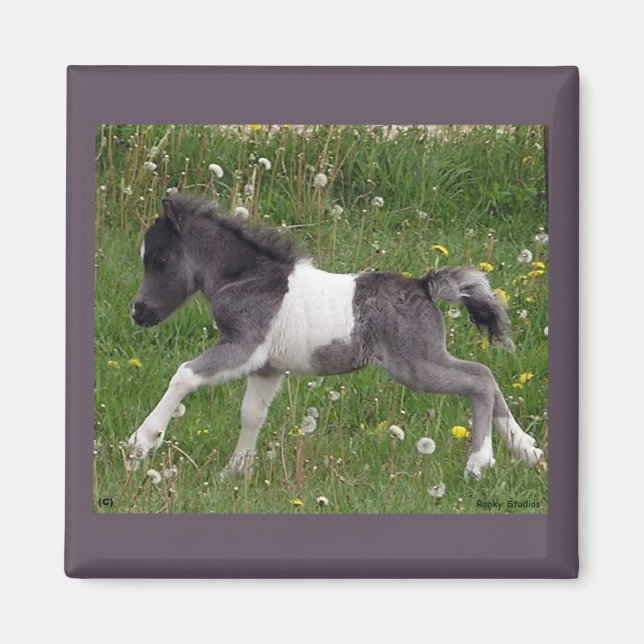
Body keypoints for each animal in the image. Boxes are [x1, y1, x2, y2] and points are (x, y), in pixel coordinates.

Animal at [128, 194, 543, 479]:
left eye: (160, 260)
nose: (138, 312)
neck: (248, 278)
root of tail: (425, 285)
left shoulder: (244, 344)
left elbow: (184, 375)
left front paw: (141, 443)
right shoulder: (267, 366)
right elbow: (252, 414)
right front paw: (235, 471)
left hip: (416, 366)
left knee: (479, 379)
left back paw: (479, 462)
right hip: (424, 361)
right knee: (486, 376)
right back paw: (527, 450)